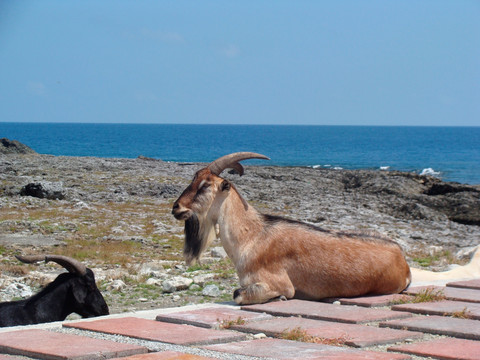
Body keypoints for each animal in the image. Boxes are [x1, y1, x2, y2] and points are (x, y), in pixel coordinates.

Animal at [173, 152, 480, 304]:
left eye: (205, 185)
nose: (177, 208)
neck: (253, 236)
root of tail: (404, 264)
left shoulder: (275, 281)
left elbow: (240, 294)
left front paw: (280, 298)